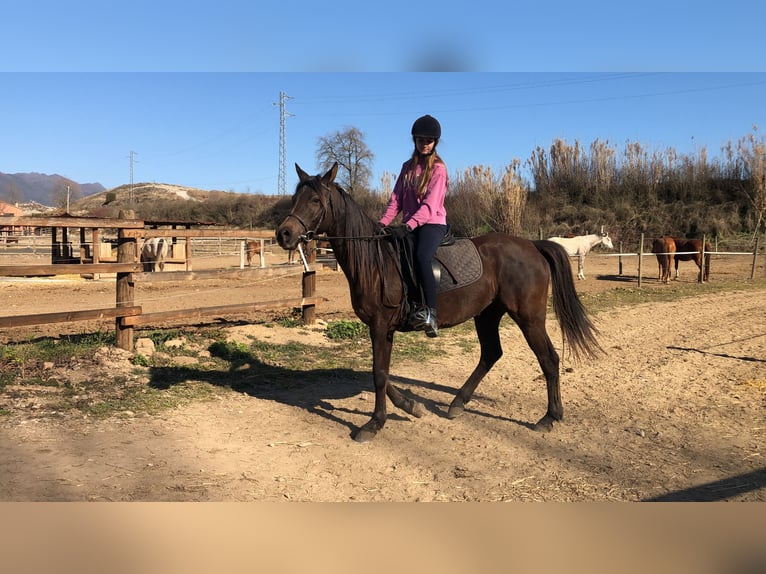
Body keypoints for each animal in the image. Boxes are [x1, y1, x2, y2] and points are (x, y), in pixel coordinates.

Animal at [276, 164, 608, 444]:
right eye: (295, 197)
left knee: (549, 359)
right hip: (487, 314)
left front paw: (374, 424)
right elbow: (382, 372)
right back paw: (458, 403)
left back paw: (549, 417)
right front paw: (410, 405)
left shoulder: (381, 325)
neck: (375, 262)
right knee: (491, 354)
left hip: (529, 317)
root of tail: (532, 246)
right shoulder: (381, 328)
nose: (284, 234)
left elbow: (379, 373)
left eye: (315, 200)